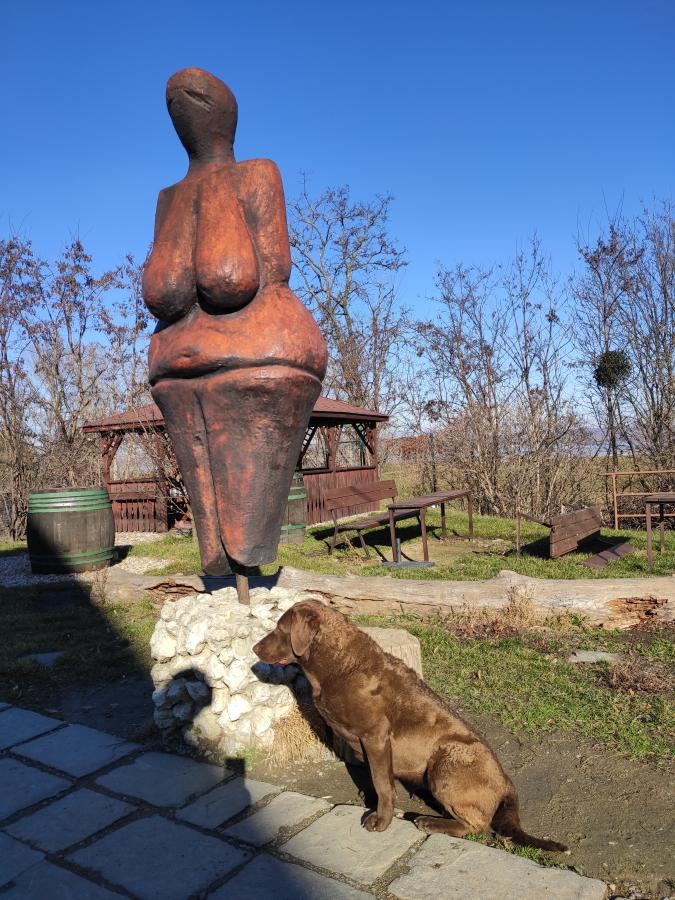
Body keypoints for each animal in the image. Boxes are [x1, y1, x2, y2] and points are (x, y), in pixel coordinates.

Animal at [253, 599, 566, 851]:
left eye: (280, 629)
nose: (254, 648)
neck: (338, 664)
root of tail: (506, 782)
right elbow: (373, 777)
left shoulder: (376, 736)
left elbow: (381, 783)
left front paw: (380, 820)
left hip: (447, 761)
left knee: (477, 825)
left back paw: (428, 821)